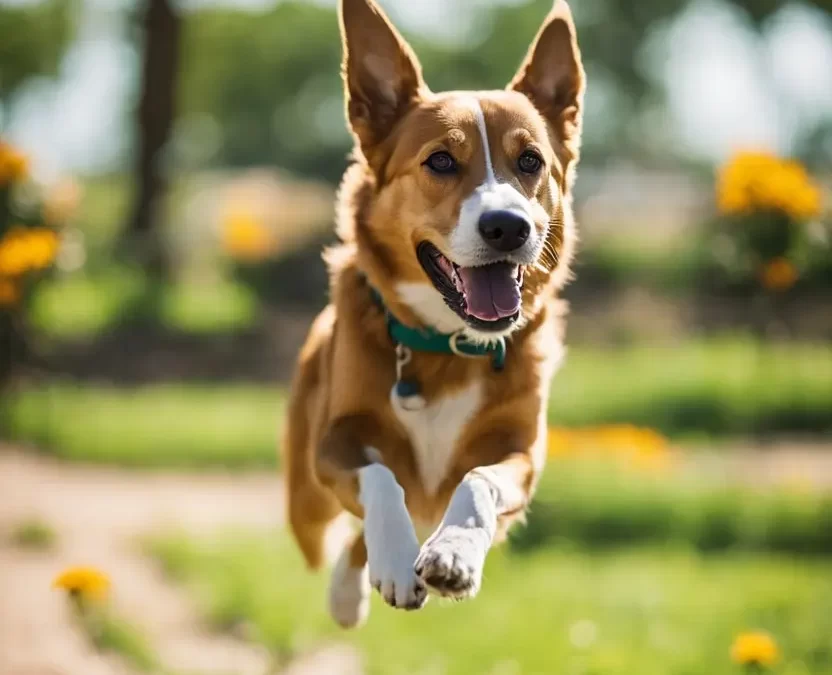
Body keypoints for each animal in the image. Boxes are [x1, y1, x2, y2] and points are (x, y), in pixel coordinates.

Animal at [286, 0, 584, 628]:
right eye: (441, 161)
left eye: (530, 161)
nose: (508, 227)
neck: (449, 344)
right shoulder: (333, 444)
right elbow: (380, 477)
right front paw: (398, 560)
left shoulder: (522, 455)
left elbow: (478, 480)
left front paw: (453, 554)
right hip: (305, 506)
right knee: (333, 530)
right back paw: (352, 587)